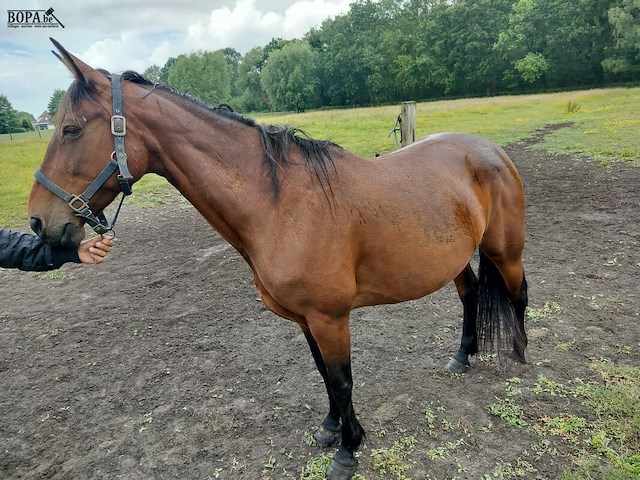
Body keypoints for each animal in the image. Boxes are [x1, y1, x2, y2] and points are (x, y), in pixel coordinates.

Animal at [28, 39, 528, 480]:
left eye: (72, 129)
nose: (37, 222)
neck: (280, 204)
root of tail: (489, 149)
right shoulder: (306, 318)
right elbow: (324, 374)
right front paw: (330, 430)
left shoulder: (330, 316)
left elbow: (342, 380)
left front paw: (348, 451)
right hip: (455, 259)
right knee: (470, 295)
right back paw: (462, 356)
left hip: (505, 249)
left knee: (518, 294)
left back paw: (520, 355)